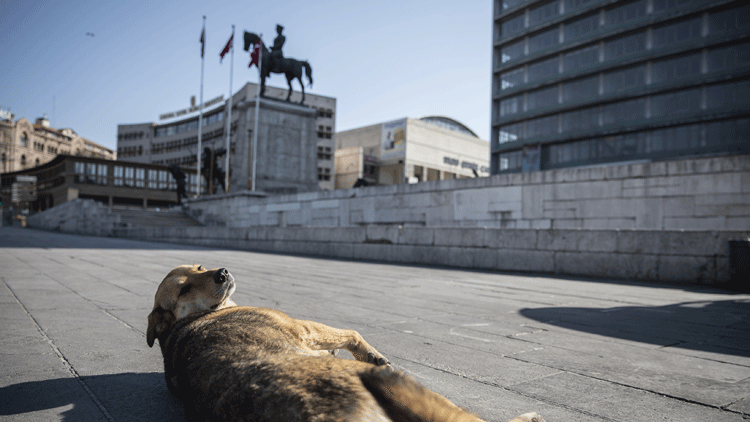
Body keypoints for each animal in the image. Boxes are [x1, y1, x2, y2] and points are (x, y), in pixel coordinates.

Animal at [147, 266, 548, 420]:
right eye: (183, 288)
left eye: (200, 268)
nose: (222, 272)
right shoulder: (304, 327)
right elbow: (353, 333)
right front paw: (374, 354)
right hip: (395, 387)